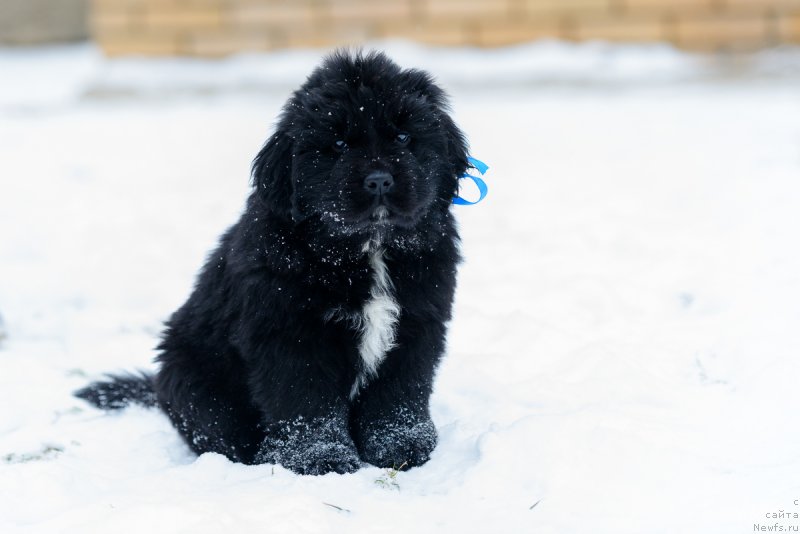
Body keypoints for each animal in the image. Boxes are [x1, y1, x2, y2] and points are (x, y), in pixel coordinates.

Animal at [76, 50, 468, 478]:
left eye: (403, 137)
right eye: (338, 143)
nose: (379, 180)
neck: (367, 249)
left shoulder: (416, 323)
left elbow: (399, 393)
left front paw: (401, 448)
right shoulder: (291, 333)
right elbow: (307, 403)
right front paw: (321, 459)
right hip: (194, 381)